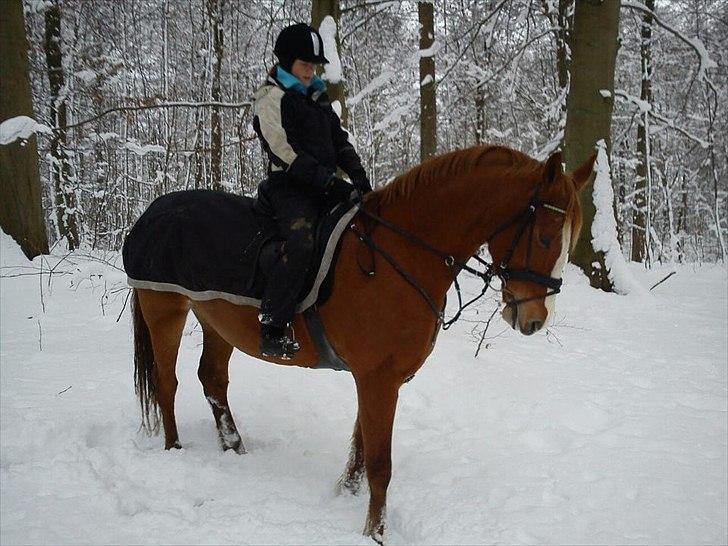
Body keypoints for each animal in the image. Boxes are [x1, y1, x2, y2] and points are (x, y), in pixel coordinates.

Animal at [129, 143, 596, 540]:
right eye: (545, 237)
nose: (534, 319)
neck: (402, 255)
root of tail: (153, 211)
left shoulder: (379, 378)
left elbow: (360, 443)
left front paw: (346, 494)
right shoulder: (377, 378)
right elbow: (380, 463)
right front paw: (375, 531)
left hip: (215, 321)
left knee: (212, 379)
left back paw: (234, 448)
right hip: (164, 309)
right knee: (167, 382)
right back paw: (174, 449)